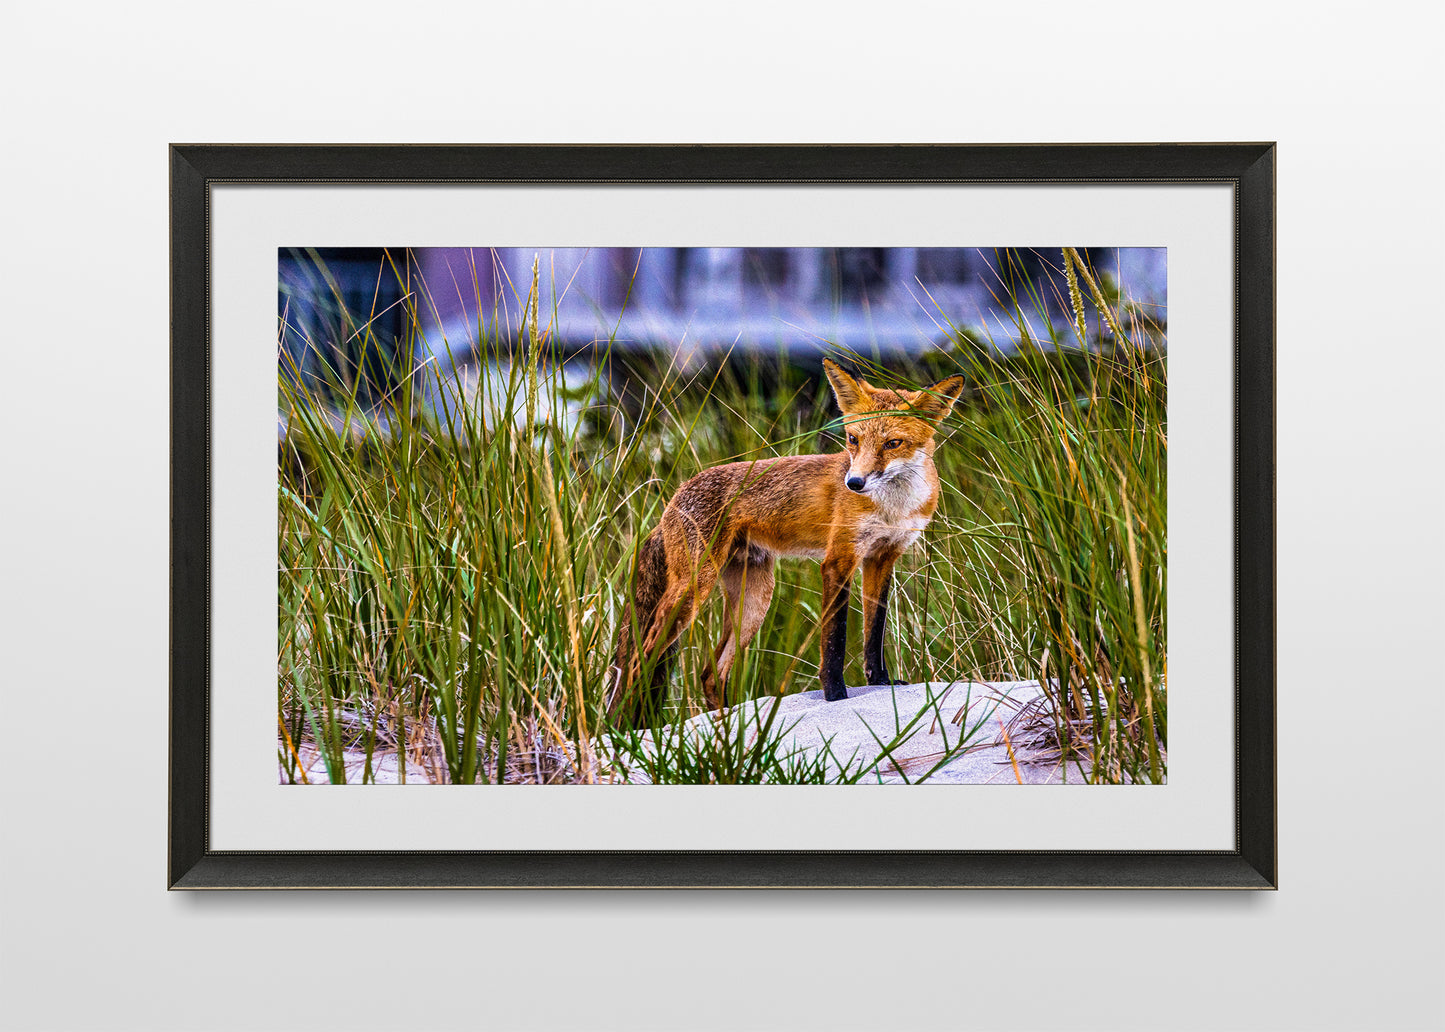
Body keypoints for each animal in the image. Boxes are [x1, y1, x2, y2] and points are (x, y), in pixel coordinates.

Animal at [607, 359, 967, 727]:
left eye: (893, 443)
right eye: (853, 439)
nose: (853, 483)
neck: (893, 506)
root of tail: (671, 500)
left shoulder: (882, 557)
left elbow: (874, 633)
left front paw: (880, 681)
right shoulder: (839, 560)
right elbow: (835, 639)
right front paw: (835, 696)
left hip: (754, 601)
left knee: (710, 672)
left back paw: (725, 728)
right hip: (694, 588)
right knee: (637, 663)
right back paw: (626, 727)